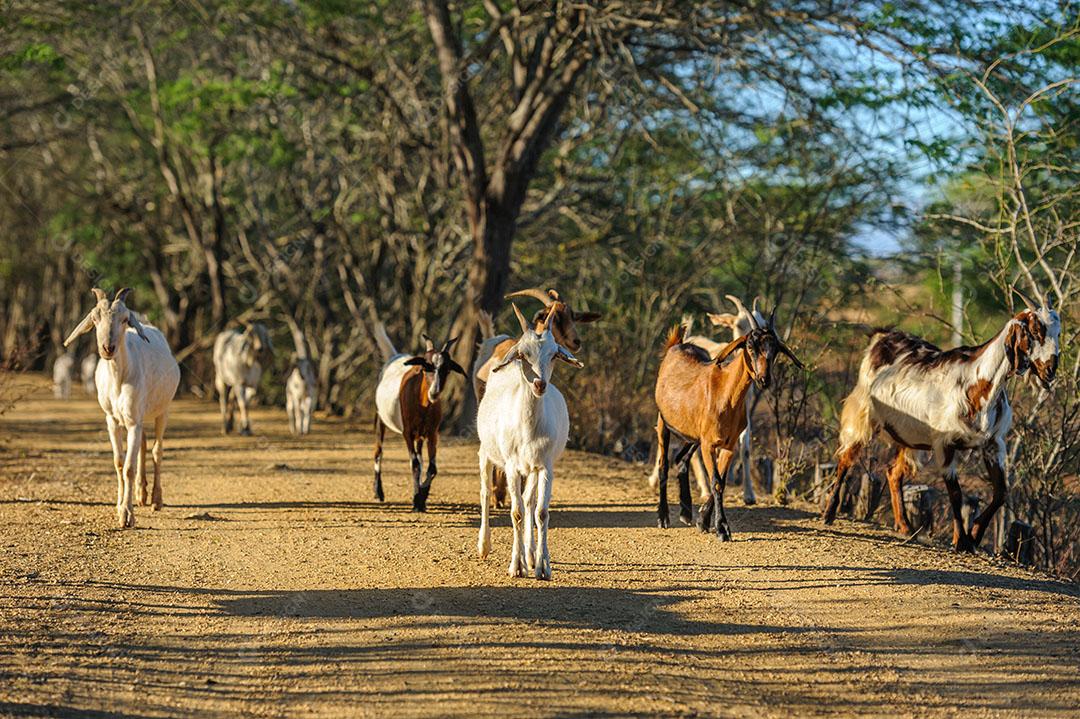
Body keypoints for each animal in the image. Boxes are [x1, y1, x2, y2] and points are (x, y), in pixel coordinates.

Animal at [64, 288, 180, 528]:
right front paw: (119, 506)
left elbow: (129, 467)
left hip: (163, 409)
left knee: (157, 449)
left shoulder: (134, 421)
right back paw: (141, 495)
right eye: (94, 318)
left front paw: (127, 515)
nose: (108, 348)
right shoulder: (112, 420)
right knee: (143, 445)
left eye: (126, 319)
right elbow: (118, 463)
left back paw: (156, 499)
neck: (119, 378)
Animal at [373, 323, 466, 511]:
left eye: (447, 369)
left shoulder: (432, 433)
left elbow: (431, 468)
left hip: (420, 436)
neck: (423, 404)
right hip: (381, 419)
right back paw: (378, 492)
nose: (434, 393)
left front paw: (422, 496)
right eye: (425, 367)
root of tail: (394, 356)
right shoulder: (407, 433)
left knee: (421, 457)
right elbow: (414, 464)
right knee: (378, 451)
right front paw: (417, 499)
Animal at [477, 304, 583, 579]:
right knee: (485, 492)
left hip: (532, 468)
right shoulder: (512, 467)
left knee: (528, 501)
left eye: (554, 354)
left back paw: (531, 554)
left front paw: (542, 565)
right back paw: (484, 546)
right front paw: (516, 566)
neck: (527, 428)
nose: (539, 384)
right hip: (486, 452)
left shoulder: (545, 466)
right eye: (523, 354)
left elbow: (540, 512)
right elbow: (516, 513)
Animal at [654, 308, 803, 539]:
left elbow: (721, 481)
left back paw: (686, 512)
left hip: (693, 434)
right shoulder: (709, 444)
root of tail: (676, 344)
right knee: (664, 464)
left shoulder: (728, 444)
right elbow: (716, 481)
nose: (764, 379)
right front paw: (722, 528)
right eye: (750, 346)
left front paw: (704, 520)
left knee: (681, 459)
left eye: (775, 349)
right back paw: (663, 517)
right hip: (664, 422)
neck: (725, 392)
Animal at [822, 291, 1061, 552]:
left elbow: (1001, 493)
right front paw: (962, 540)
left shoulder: (994, 443)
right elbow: (955, 493)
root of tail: (882, 336)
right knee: (846, 459)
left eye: (1058, 332)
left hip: (908, 435)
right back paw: (829, 513)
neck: (979, 383)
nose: (1051, 368)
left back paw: (905, 526)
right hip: (863, 415)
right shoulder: (944, 443)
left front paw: (974, 535)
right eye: (1036, 330)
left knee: (893, 472)